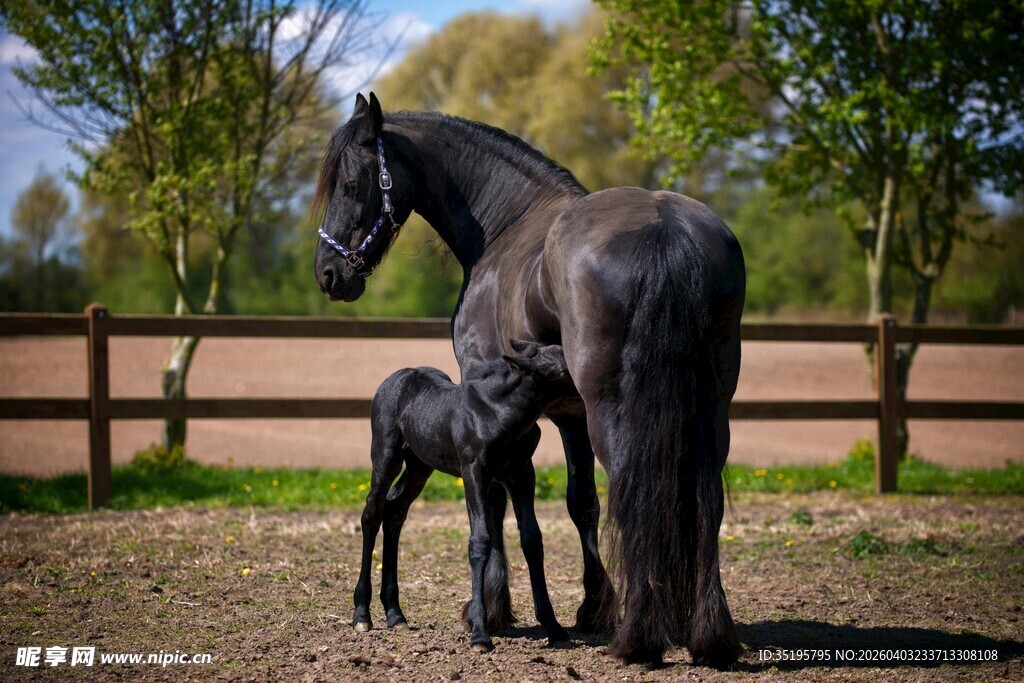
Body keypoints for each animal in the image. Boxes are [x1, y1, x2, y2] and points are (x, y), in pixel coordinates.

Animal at [353, 340, 574, 651]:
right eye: (563, 369)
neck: (500, 412)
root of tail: (395, 377)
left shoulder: (522, 474)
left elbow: (532, 540)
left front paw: (553, 627)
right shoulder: (474, 473)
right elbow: (479, 541)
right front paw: (480, 633)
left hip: (420, 465)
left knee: (395, 511)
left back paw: (395, 614)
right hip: (386, 454)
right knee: (372, 514)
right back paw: (362, 614)